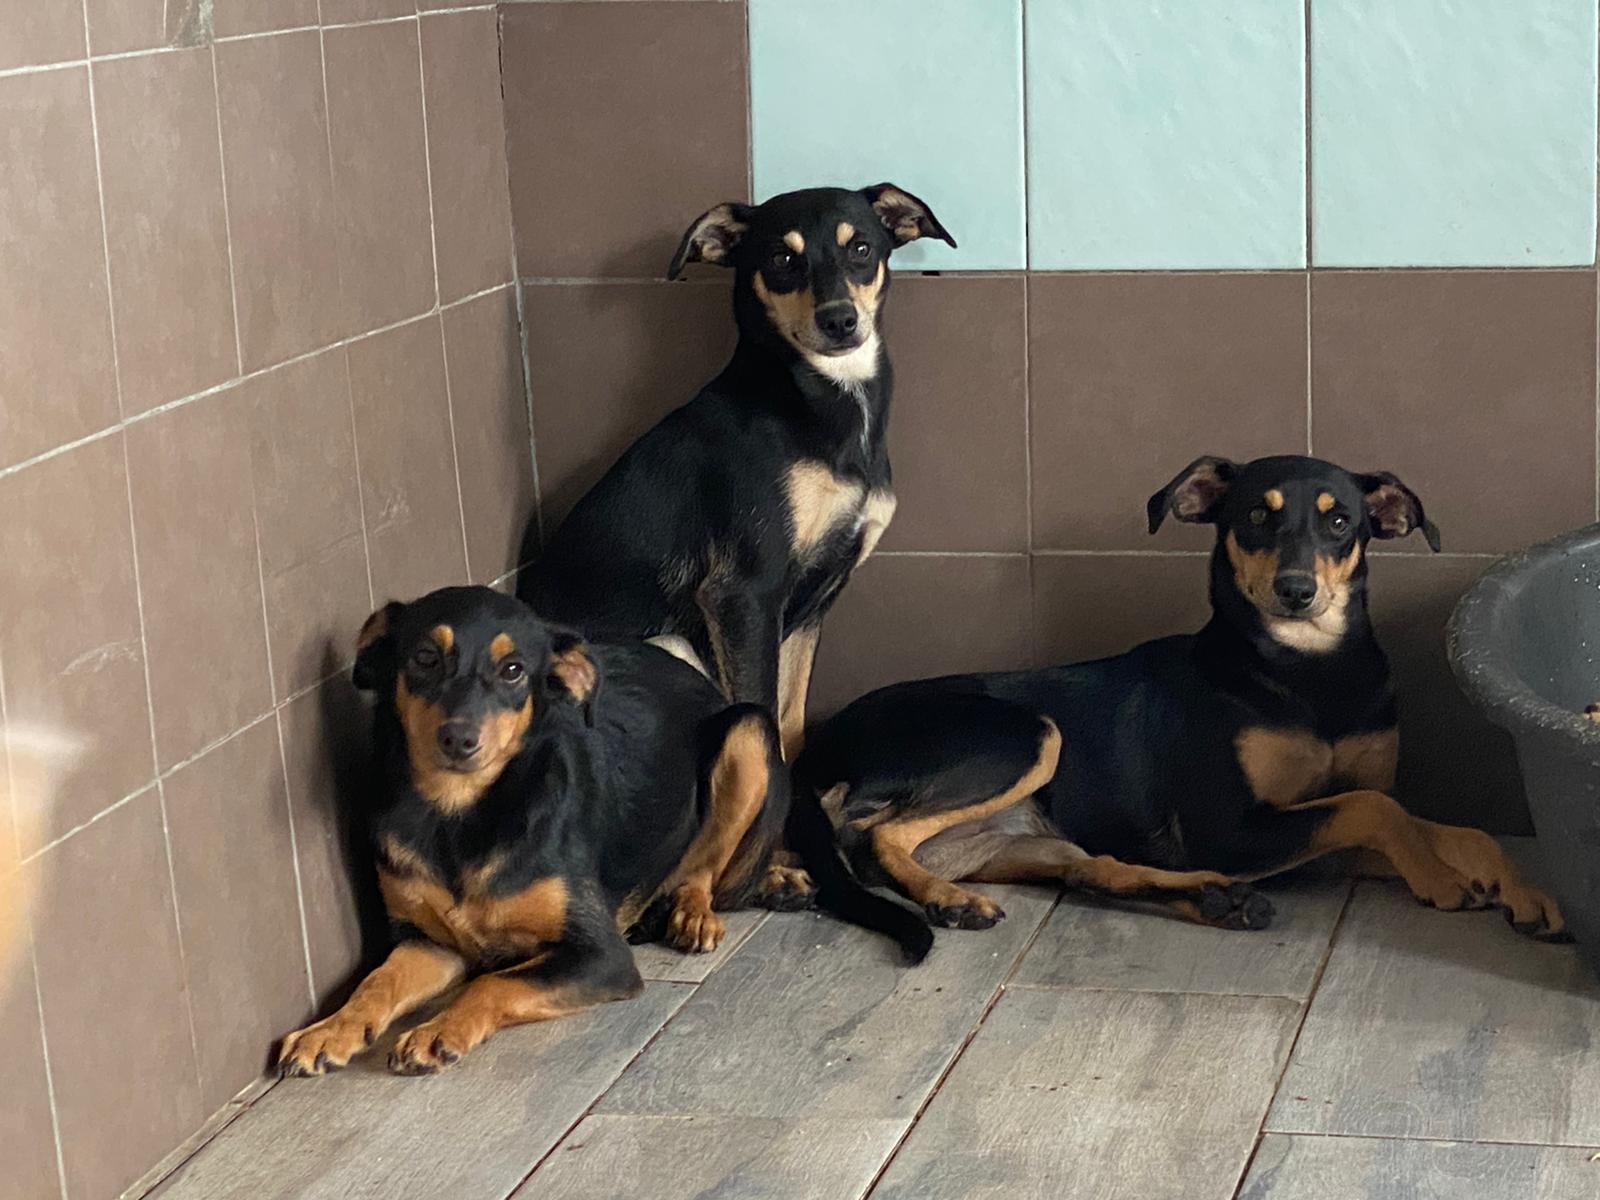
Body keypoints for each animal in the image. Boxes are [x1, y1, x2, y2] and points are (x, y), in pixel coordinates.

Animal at [278, 586, 798, 1076]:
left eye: (513, 670)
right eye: (425, 657)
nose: (459, 739)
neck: (458, 813)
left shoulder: (600, 956)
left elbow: (494, 980)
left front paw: (438, 1030)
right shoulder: (428, 942)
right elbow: (376, 981)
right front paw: (329, 1030)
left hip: (748, 731)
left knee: (705, 866)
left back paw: (693, 913)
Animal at [796, 455, 1567, 940]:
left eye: (1341, 521)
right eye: (1255, 516)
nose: (1295, 590)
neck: (1306, 672)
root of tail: (822, 742)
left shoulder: (1317, 827)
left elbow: (1442, 825)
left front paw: (1522, 891)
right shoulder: (1230, 827)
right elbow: (1374, 809)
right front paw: (1441, 880)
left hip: (1027, 831)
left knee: (1094, 870)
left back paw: (1215, 898)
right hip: (1025, 735)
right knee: (874, 834)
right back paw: (948, 900)